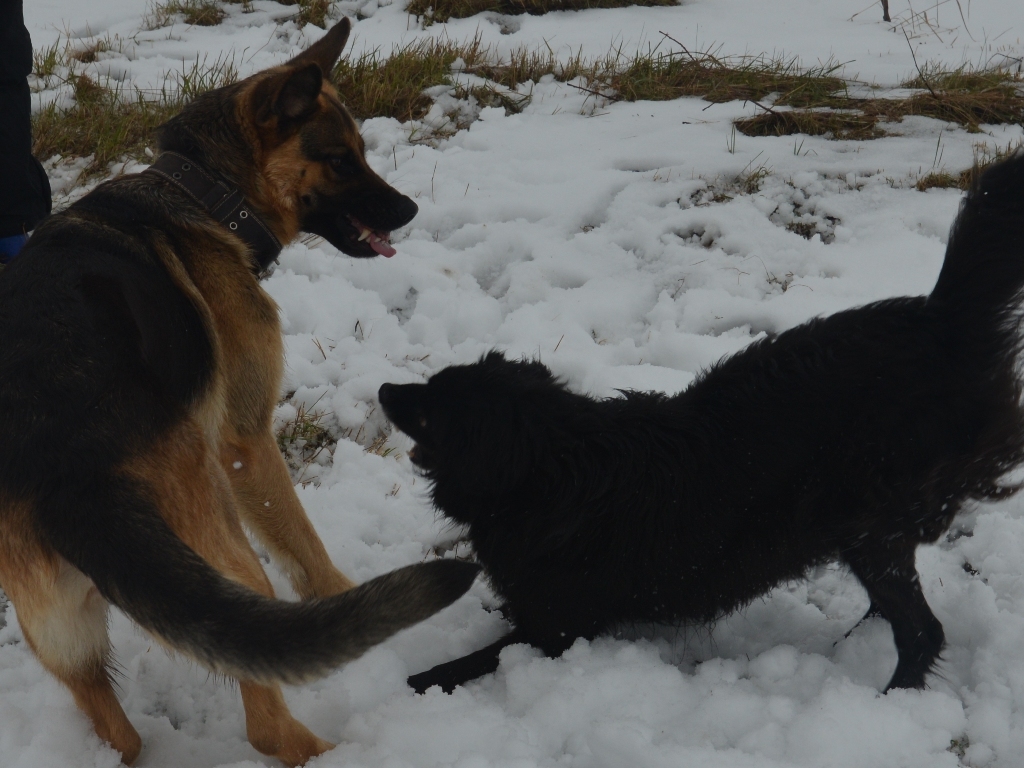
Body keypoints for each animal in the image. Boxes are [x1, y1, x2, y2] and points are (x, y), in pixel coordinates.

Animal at [0, 19, 479, 768]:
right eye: (340, 160)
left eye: (361, 153)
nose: (409, 209)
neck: (204, 194)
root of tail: (67, 477)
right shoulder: (246, 443)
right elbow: (306, 549)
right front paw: (343, 596)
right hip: (224, 551)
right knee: (266, 724)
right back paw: (325, 747)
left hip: (62, 629)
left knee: (117, 729)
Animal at [380, 153, 1024, 696]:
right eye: (430, 385)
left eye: (430, 411)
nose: (385, 389)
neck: (553, 465)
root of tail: (940, 319)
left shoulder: (556, 629)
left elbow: (466, 662)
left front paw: (411, 683)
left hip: (872, 522)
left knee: (922, 632)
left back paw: (887, 698)